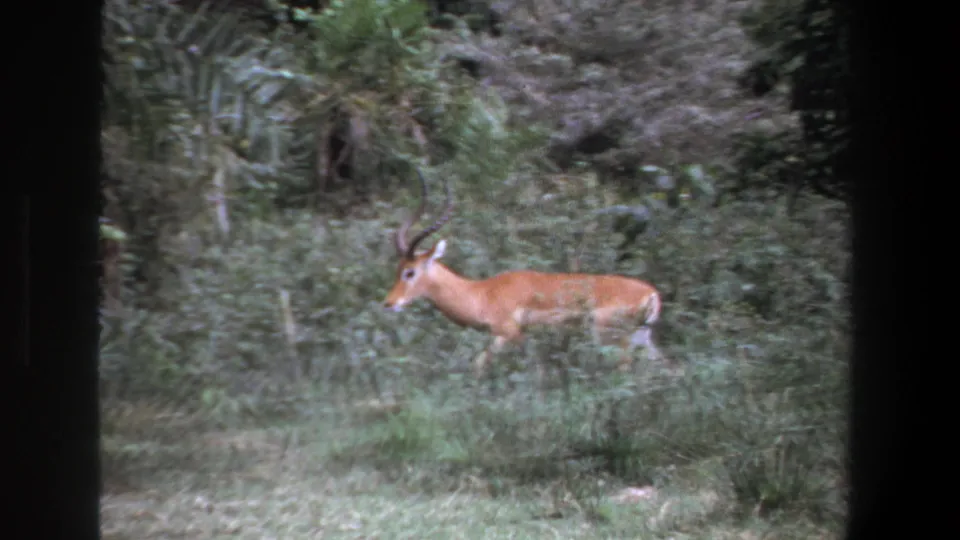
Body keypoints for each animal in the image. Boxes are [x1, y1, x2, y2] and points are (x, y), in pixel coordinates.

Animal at [383, 169, 664, 386]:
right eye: (397, 268)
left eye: (410, 271)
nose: (389, 303)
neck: (482, 293)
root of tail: (650, 294)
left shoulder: (509, 334)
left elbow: (483, 365)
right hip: (642, 339)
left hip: (610, 337)